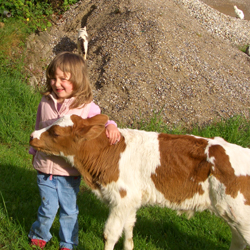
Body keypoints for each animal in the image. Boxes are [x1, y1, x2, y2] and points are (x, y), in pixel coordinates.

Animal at [29, 114, 250, 249]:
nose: (32, 135)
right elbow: (128, 228)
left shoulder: (121, 198)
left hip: (242, 216)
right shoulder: (131, 200)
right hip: (232, 216)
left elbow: (110, 234)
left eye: (56, 132)